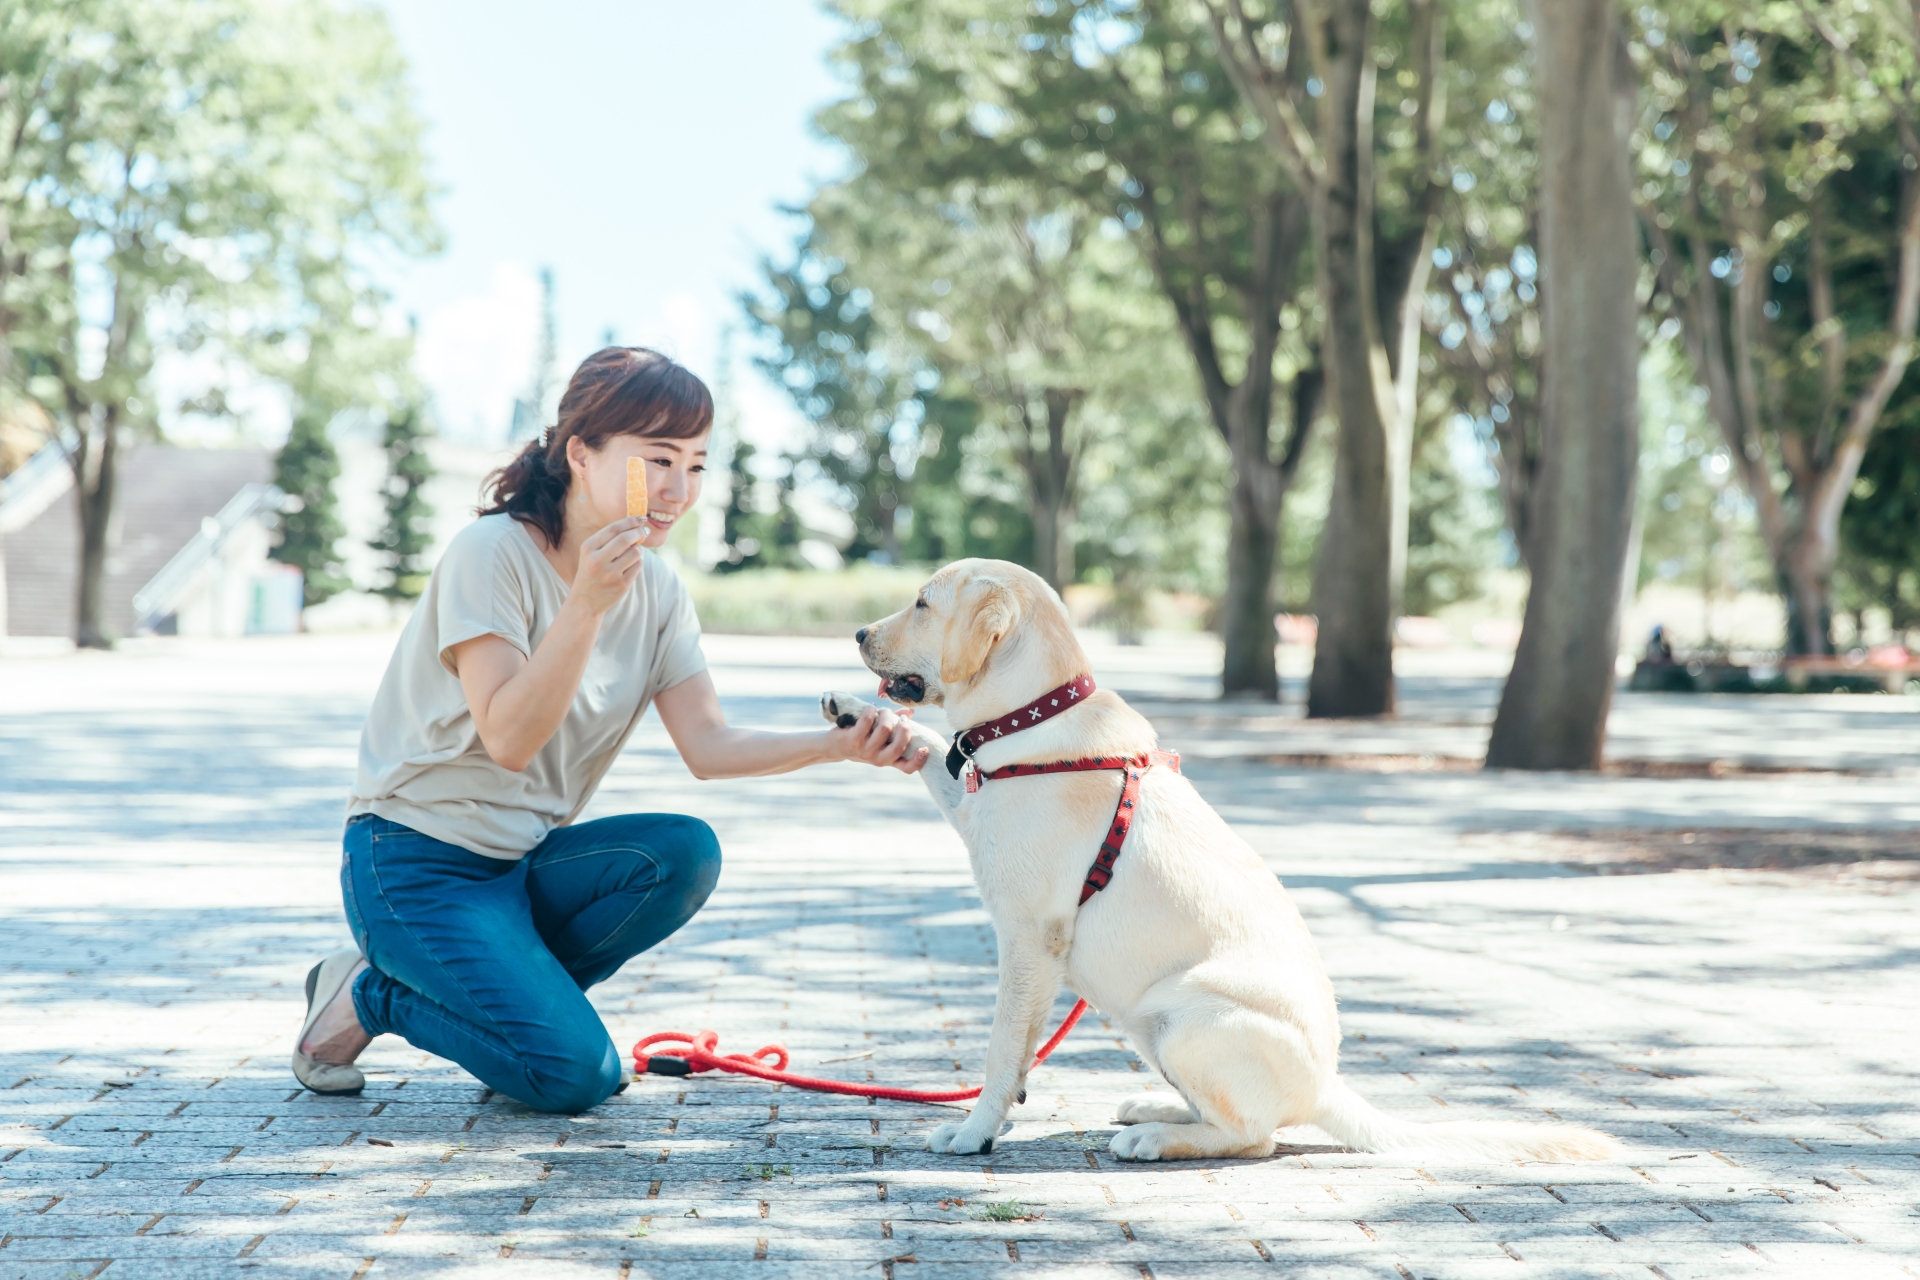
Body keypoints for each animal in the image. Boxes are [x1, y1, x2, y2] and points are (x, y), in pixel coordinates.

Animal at [825, 556, 1620, 1166]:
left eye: (922, 602)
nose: (858, 632)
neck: (1033, 717)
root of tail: (1326, 1084)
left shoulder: (1029, 937)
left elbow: (999, 1050)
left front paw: (975, 1131)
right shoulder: (973, 811)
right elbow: (930, 746)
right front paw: (861, 715)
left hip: (1184, 1014)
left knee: (1254, 1137)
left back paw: (1153, 1138)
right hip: (1148, 1025)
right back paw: (1154, 1109)